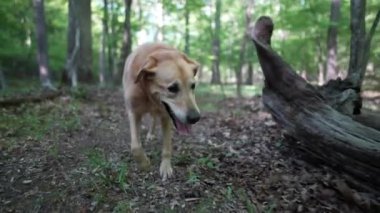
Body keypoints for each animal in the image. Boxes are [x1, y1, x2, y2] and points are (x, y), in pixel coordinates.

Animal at [123, 42, 202, 180]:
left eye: (193, 86)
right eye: (172, 88)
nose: (195, 118)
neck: (147, 92)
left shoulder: (166, 117)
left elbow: (167, 147)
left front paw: (165, 167)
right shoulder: (133, 112)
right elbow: (135, 146)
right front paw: (144, 164)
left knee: (154, 119)